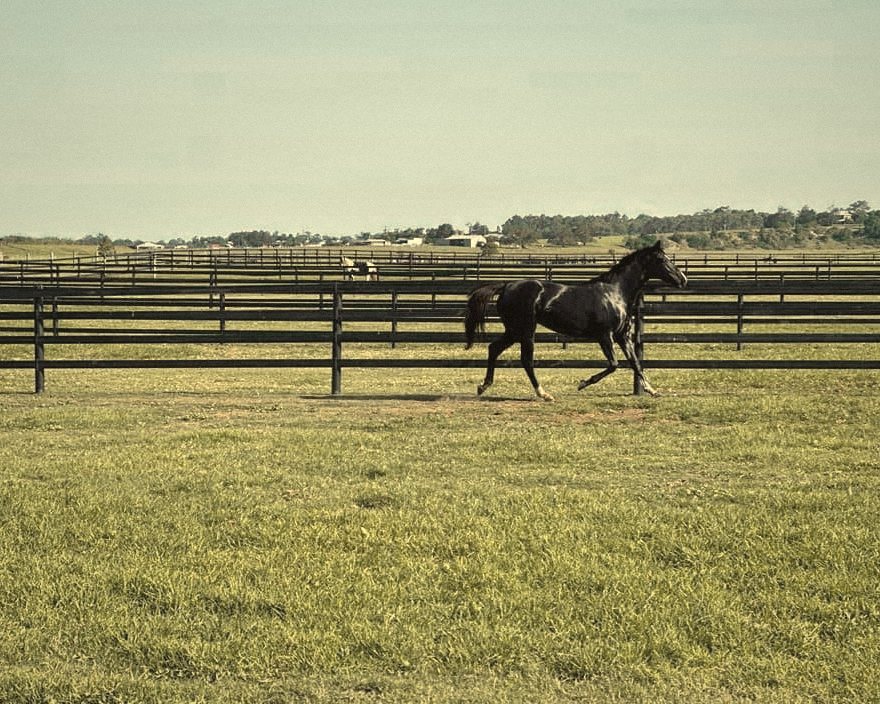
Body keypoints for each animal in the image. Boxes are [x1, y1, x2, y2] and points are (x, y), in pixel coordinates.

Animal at [464, 241, 687, 401]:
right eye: (662, 259)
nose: (683, 279)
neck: (615, 292)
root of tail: (506, 286)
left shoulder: (622, 336)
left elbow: (636, 363)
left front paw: (652, 390)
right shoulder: (604, 335)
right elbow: (614, 364)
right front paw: (583, 383)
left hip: (513, 330)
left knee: (494, 348)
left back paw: (483, 386)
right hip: (525, 330)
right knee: (525, 360)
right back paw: (544, 394)